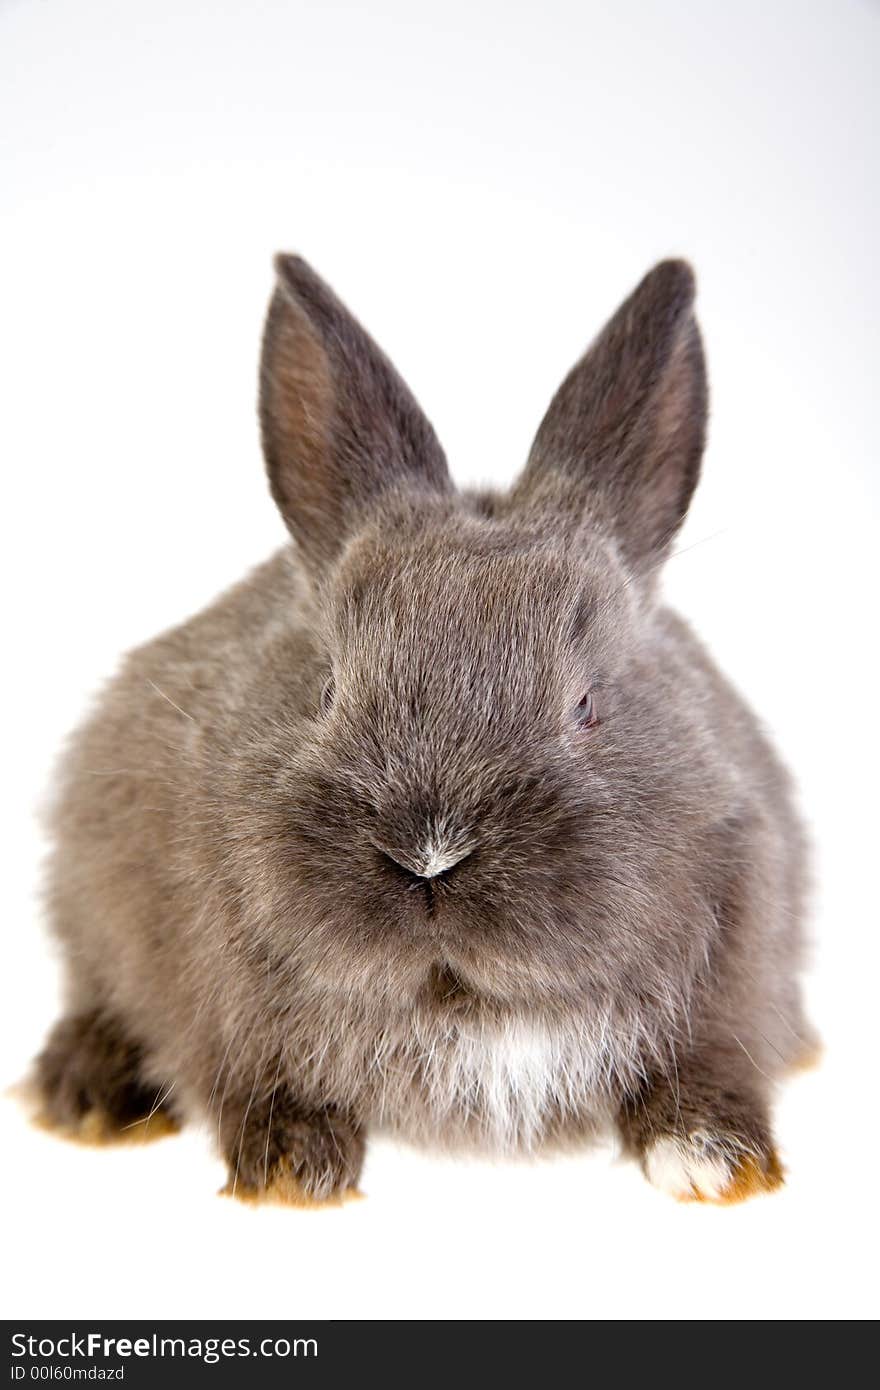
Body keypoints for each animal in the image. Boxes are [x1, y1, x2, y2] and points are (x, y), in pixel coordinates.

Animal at [34, 252, 817, 1206]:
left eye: (587, 705)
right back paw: (88, 1096)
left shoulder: (740, 954)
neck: (463, 1004)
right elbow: (244, 1071)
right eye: (327, 688)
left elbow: (707, 1063)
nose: (430, 855)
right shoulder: (203, 980)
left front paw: (713, 1160)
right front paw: (294, 1168)